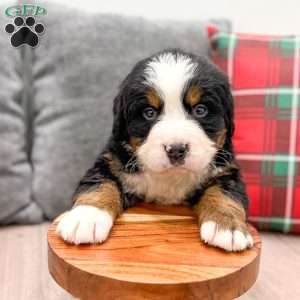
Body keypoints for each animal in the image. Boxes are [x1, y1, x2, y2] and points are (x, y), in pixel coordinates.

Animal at [56, 48, 253, 251]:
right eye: (149, 113)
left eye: (200, 110)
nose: (176, 149)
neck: (169, 178)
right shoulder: (112, 160)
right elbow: (99, 183)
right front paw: (86, 218)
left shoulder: (226, 169)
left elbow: (225, 194)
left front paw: (227, 227)